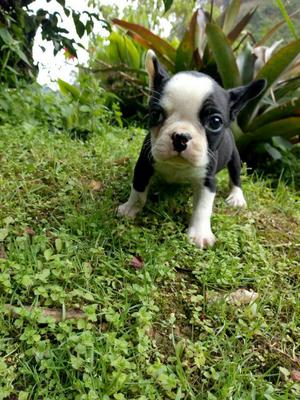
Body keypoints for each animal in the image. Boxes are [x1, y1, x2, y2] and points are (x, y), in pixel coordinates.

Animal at [117, 49, 264, 248]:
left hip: (234, 158)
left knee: (235, 176)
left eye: (215, 122)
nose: (181, 136)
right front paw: (130, 209)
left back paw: (237, 197)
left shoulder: (207, 181)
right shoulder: (144, 165)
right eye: (155, 114)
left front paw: (200, 233)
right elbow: (138, 190)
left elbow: (203, 207)